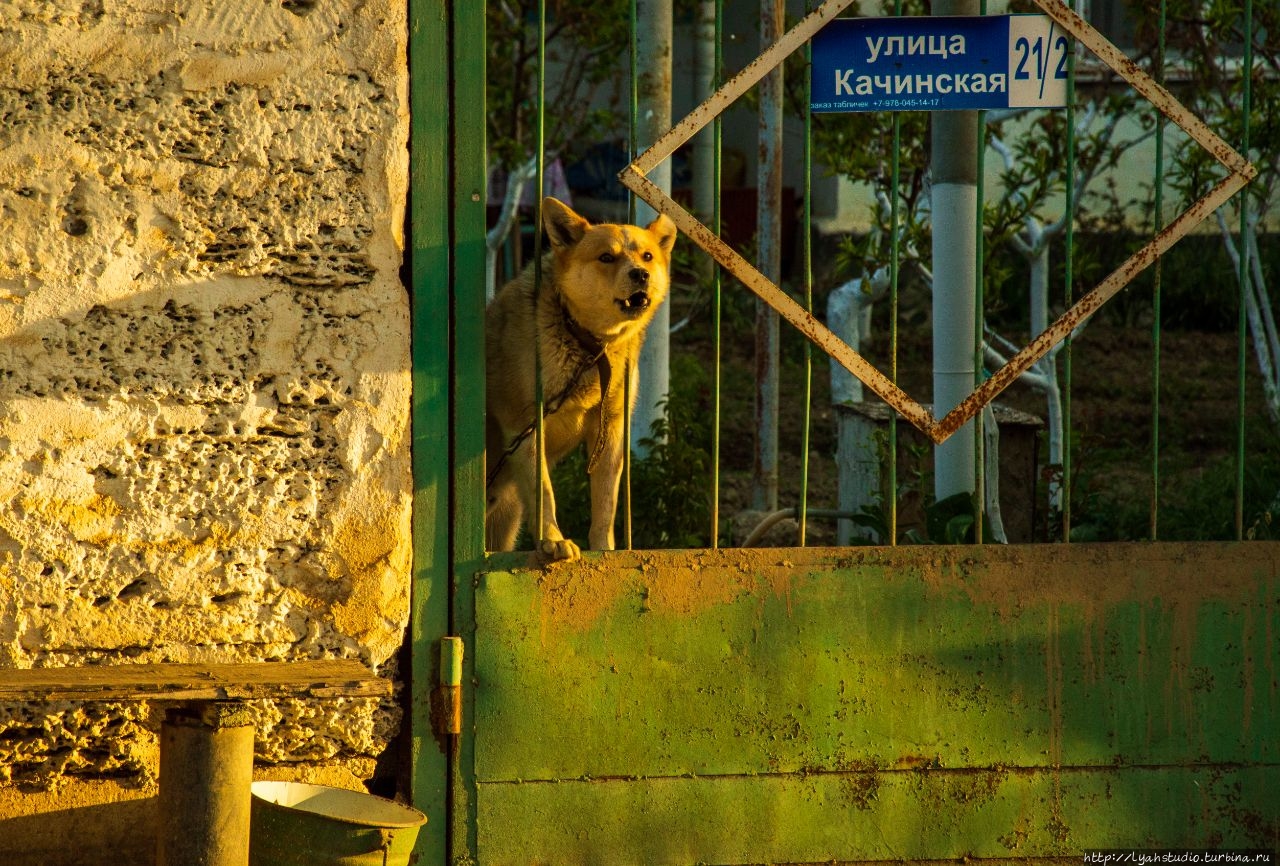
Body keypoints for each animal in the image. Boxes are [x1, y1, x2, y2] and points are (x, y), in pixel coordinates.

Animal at [481, 196, 680, 560]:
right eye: (606, 257)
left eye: (647, 256)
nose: (640, 274)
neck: (588, 346)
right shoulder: (526, 429)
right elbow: (545, 494)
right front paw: (553, 540)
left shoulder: (611, 430)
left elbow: (605, 505)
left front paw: (604, 550)